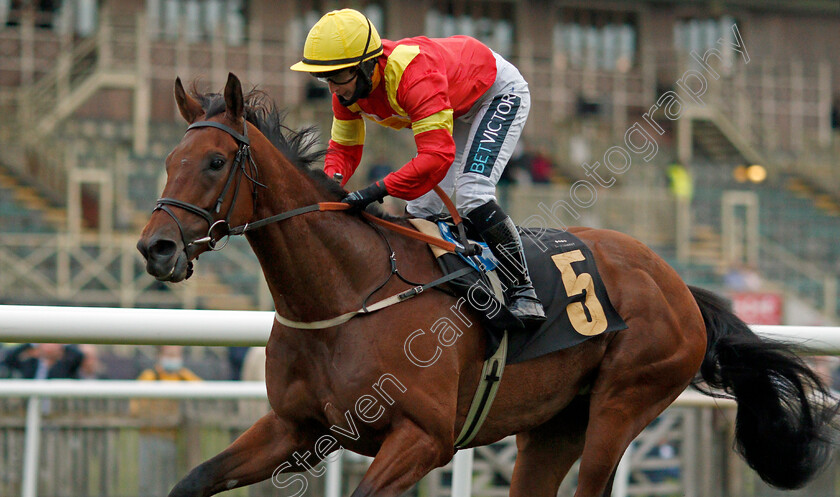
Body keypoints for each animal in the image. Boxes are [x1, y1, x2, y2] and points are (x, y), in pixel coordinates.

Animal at [138, 73, 832, 496]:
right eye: (168, 161)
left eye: (215, 161)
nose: (155, 247)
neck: (347, 297)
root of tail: (679, 284)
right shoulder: (295, 428)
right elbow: (193, 479)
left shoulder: (423, 440)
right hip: (552, 426)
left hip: (624, 402)